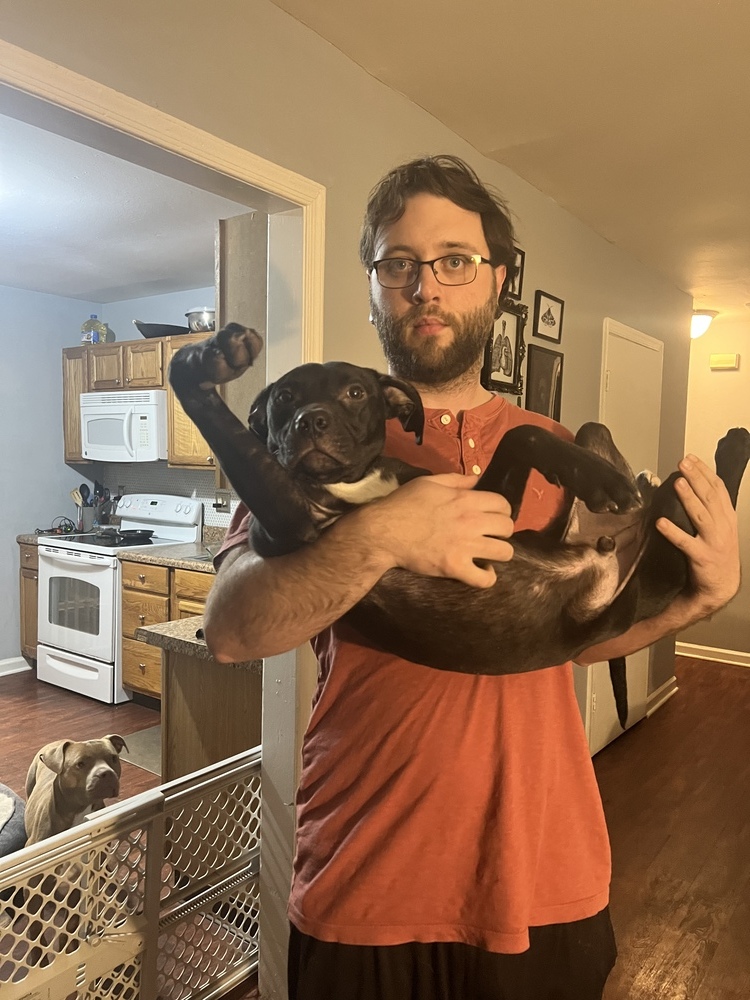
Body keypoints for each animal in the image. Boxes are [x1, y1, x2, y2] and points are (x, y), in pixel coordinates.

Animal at [170, 324, 750, 724]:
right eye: (284, 397)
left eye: (355, 392)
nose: (308, 421)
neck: (358, 481)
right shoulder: (293, 521)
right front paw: (199, 357)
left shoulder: (490, 515)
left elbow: (523, 435)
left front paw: (597, 477)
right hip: (664, 552)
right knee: (680, 497)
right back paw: (715, 456)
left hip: (619, 473)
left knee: (678, 490)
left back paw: (688, 463)